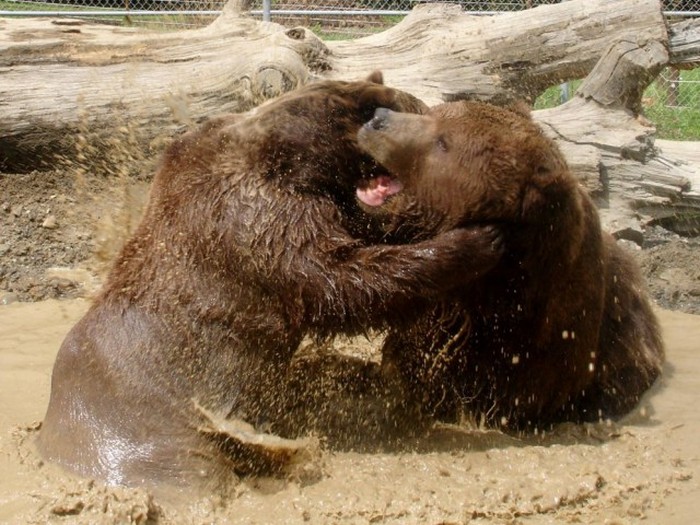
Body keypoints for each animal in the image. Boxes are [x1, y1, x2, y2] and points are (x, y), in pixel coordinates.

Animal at [37, 75, 504, 490]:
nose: (419, 107)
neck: (289, 159)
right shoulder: (250, 221)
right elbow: (335, 280)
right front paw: (474, 241)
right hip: (149, 437)